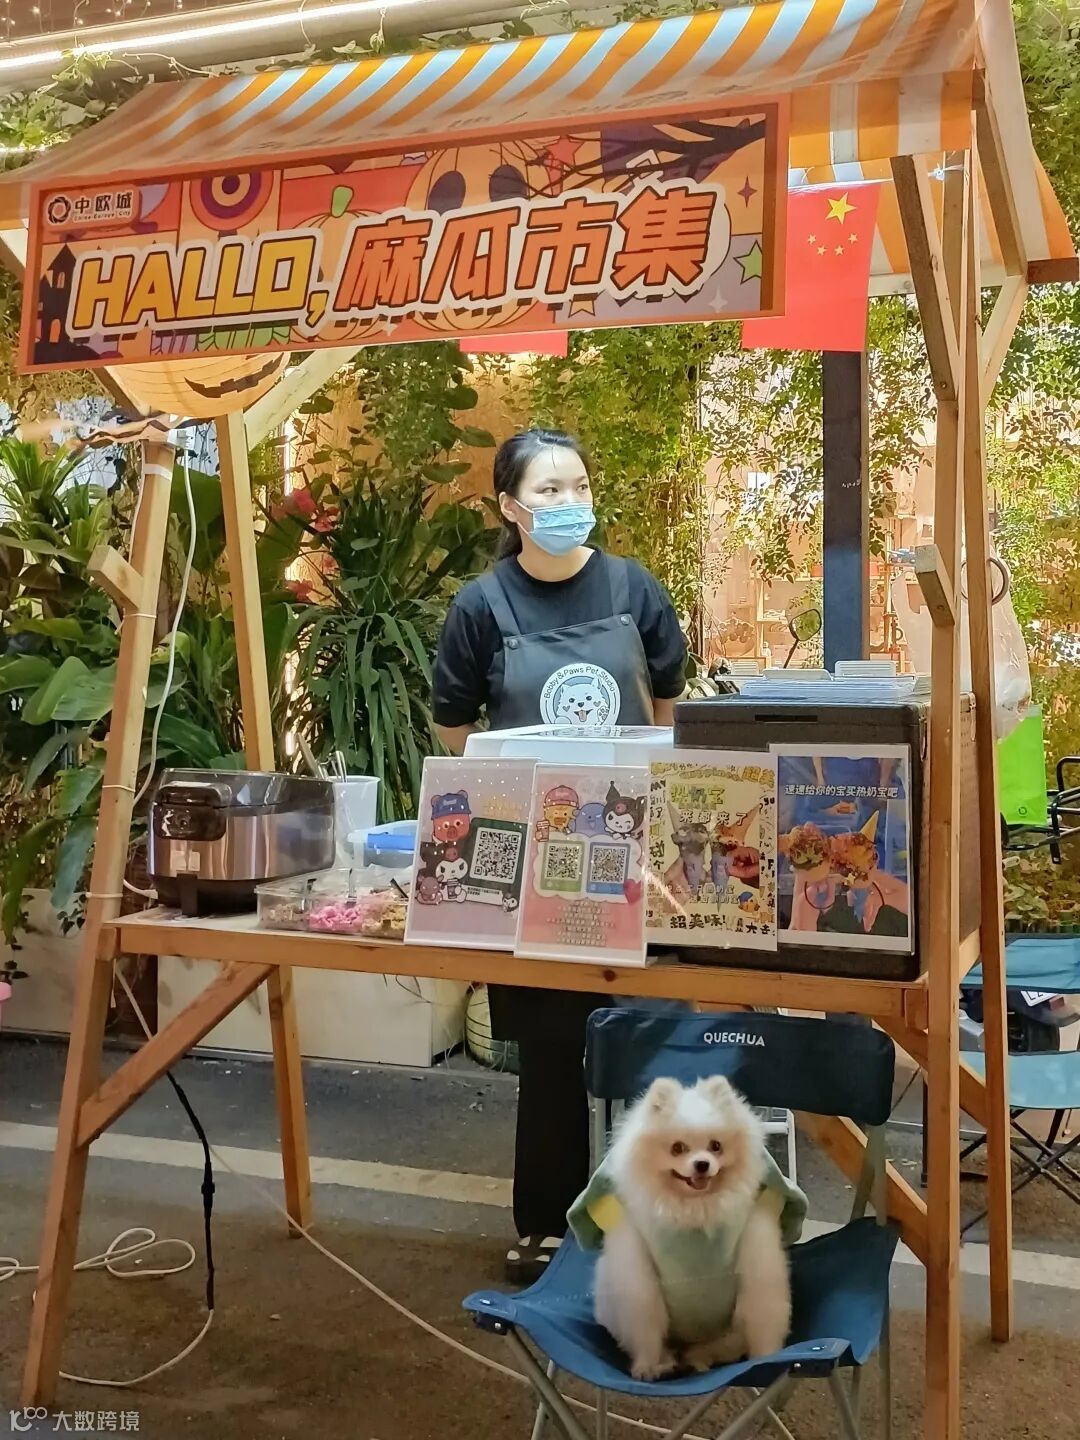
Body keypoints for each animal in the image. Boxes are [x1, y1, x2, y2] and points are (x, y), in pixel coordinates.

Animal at [588, 1075, 794, 1380]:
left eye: (716, 1146)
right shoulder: (637, 1272)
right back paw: (665, 1362)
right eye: (677, 1148)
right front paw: (646, 1366)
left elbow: (762, 1313)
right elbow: (645, 1322)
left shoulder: (758, 1250)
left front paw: (765, 1358)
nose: (702, 1164)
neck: (695, 1211)